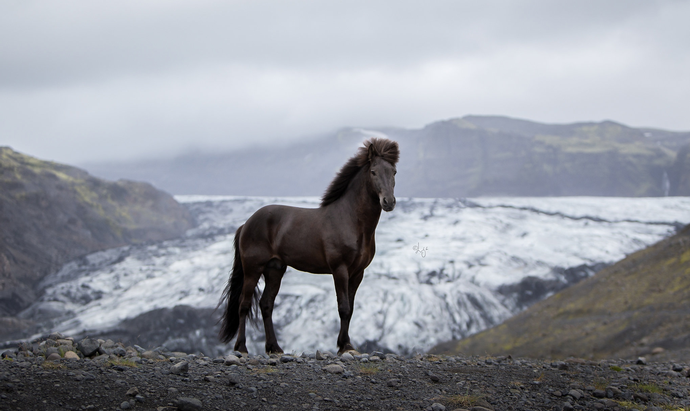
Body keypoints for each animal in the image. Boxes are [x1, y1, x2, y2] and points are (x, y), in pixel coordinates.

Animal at [215, 138, 398, 354]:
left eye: (394, 172)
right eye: (373, 172)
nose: (388, 202)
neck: (350, 220)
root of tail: (246, 224)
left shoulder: (357, 273)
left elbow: (351, 309)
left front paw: (346, 344)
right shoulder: (340, 270)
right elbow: (343, 308)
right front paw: (344, 346)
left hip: (274, 269)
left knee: (266, 304)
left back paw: (274, 348)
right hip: (252, 269)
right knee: (243, 305)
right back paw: (242, 347)